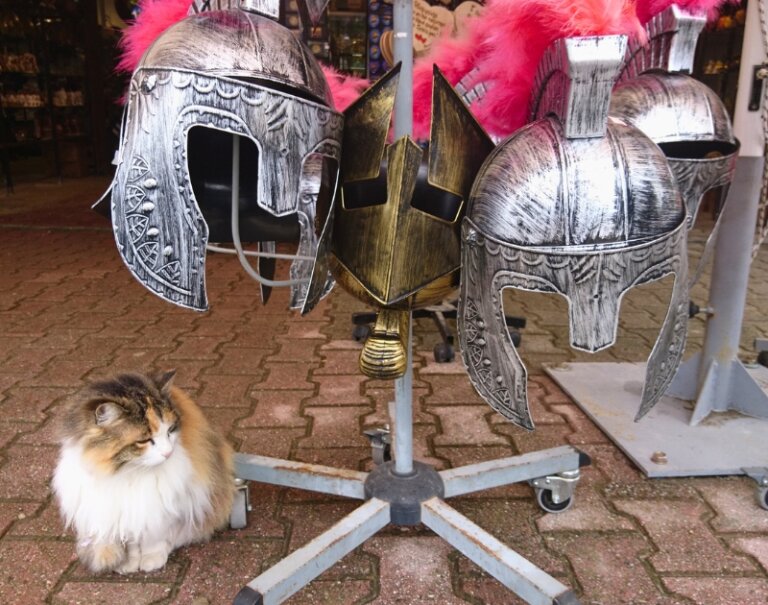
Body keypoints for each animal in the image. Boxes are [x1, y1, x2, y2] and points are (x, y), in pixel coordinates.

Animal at [52, 368, 236, 572]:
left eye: (170, 430)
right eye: (144, 440)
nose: (168, 452)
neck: (131, 472)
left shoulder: (164, 504)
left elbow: (154, 536)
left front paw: (152, 558)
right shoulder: (124, 511)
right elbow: (131, 538)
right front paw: (129, 563)